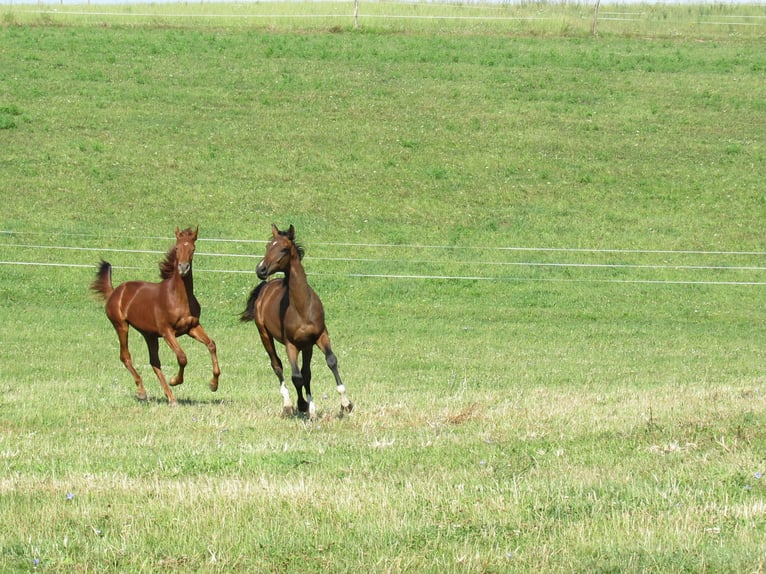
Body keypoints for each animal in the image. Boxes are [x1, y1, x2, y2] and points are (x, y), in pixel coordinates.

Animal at [91, 227, 220, 406]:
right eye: (177, 248)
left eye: (193, 249)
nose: (183, 268)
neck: (178, 298)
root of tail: (115, 292)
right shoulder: (167, 332)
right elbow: (182, 357)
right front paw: (175, 380)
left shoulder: (192, 327)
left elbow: (211, 345)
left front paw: (213, 384)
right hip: (121, 326)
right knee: (125, 356)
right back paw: (142, 392)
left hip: (150, 335)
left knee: (154, 362)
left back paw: (171, 398)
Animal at [240, 224, 352, 419]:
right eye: (268, 246)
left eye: (284, 249)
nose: (260, 269)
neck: (302, 307)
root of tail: (266, 286)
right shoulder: (290, 345)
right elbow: (296, 377)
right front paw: (302, 405)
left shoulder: (320, 336)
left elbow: (330, 361)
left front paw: (345, 404)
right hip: (265, 335)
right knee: (277, 366)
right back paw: (288, 405)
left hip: (306, 347)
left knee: (306, 372)